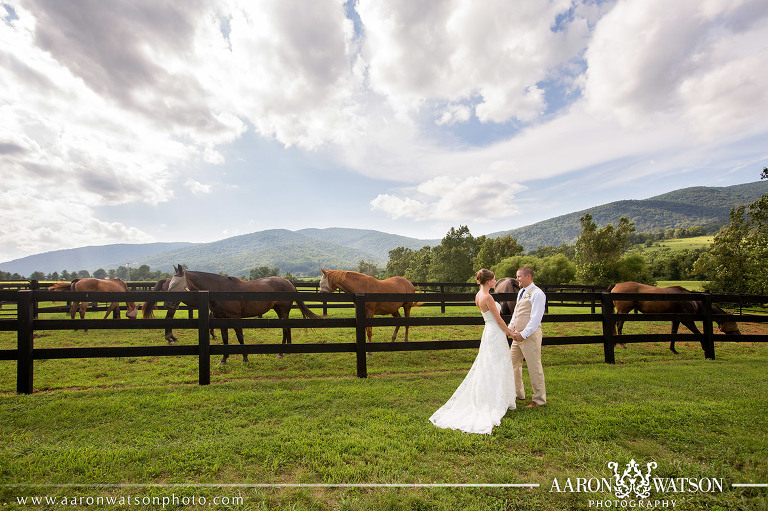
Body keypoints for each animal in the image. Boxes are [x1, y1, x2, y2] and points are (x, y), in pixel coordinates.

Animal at [166, 264, 322, 364]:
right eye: (170, 283)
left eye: (176, 284)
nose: (168, 304)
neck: (221, 291)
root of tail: (289, 282)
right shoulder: (220, 319)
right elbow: (225, 338)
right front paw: (224, 359)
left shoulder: (236, 318)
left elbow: (240, 337)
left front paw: (245, 358)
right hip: (279, 311)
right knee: (287, 329)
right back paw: (286, 351)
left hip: (283, 310)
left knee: (285, 329)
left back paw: (280, 354)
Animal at [608, 280, 740, 356]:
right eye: (732, 321)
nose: (739, 335)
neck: (694, 301)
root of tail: (616, 285)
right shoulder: (687, 320)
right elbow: (697, 333)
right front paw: (705, 347)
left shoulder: (676, 319)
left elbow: (673, 333)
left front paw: (673, 350)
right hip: (623, 311)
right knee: (619, 325)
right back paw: (622, 344)